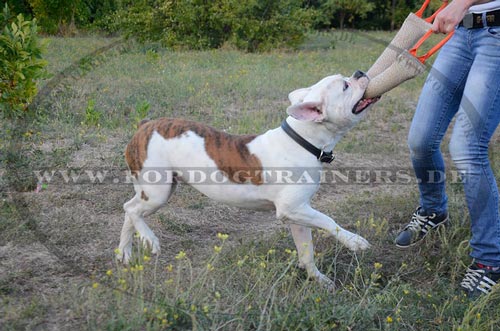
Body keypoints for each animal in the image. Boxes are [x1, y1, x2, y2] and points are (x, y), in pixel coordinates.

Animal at [118, 71, 378, 290]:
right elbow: (328, 220)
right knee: (131, 210)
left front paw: (319, 279)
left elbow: (307, 252)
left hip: (151, 189)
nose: (359, 73)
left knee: (131, 210)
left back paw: (124, 253)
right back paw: (150, 239)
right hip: (158, 192)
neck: (302, 139)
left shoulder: (299, 213)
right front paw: (353, 241)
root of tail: (145, 125)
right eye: (345, 86)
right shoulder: (292, 209)